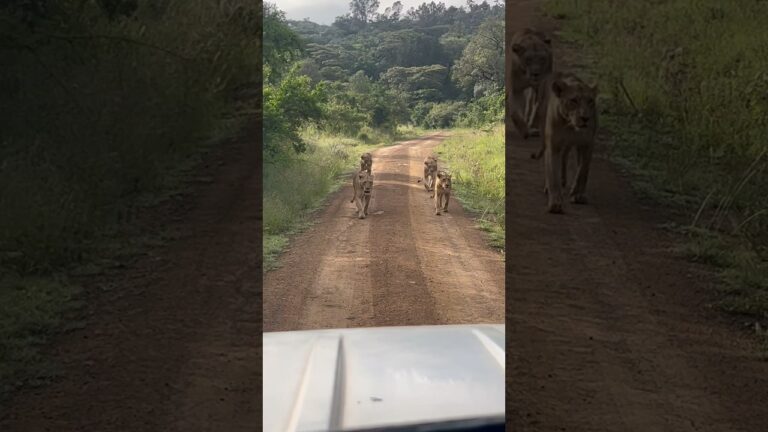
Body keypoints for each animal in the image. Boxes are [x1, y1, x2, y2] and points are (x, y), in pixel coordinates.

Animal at [532, 71, 598, 214]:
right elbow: (553, 175)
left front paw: (578, 194)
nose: (585, 118)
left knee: (565, 157)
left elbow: (583, 171)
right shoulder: (553, 145)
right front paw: (555, 203)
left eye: (590, 101)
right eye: (573, 100)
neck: (571, 125)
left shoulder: (587, 144)